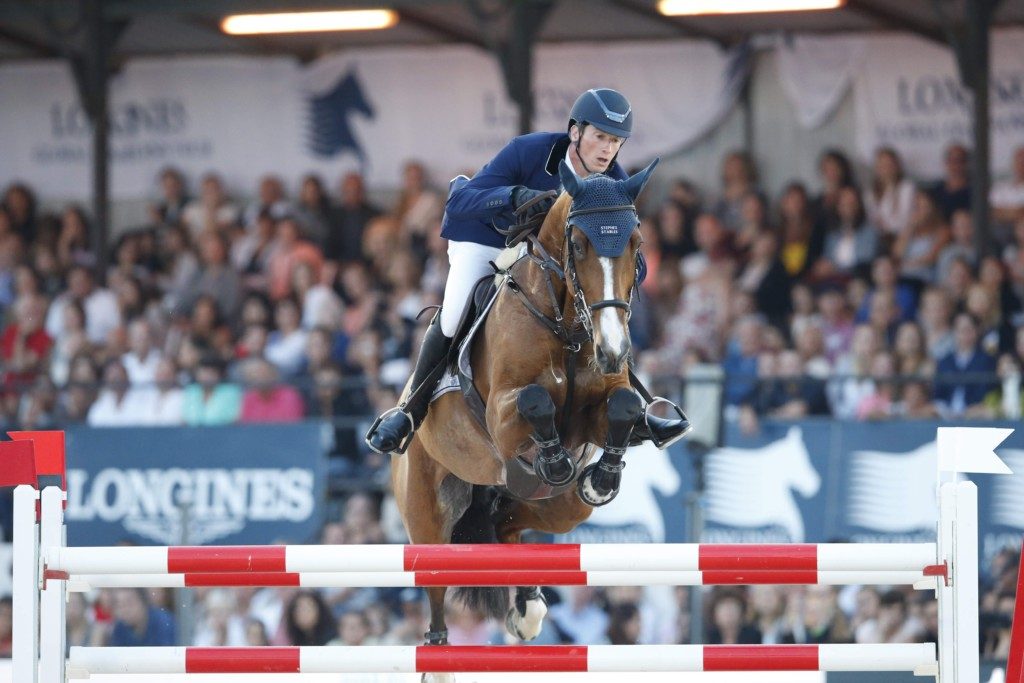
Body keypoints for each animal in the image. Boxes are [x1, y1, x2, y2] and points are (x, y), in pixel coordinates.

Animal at [387, 158, 659, 679]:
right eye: (579, 245)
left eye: (636, 244)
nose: (614, 351)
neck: (568, 325)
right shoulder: (502, 414)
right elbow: (535, 401)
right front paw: (553, 459)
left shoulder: (595, 412)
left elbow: (624, 407)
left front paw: (601, 476)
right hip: (427, 511)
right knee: (436, 585)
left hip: (560, 509)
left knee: (510, 522)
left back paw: (527, 606)